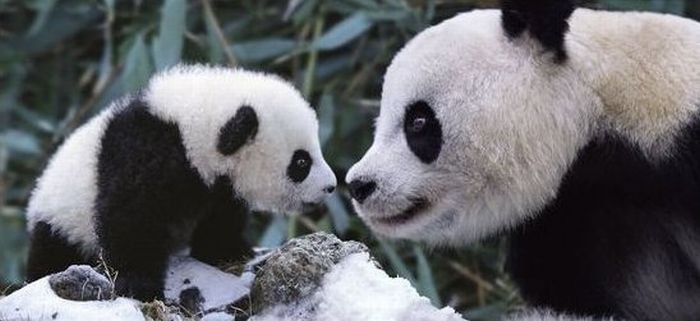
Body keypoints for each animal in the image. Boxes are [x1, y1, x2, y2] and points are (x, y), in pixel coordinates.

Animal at [24, 65, 336, 300]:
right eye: (301, 162)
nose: (331, 187)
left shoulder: (216, 186)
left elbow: (221, 217)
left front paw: (227, 250)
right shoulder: (144, 154)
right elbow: (130, 217)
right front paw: (139, 285)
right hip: (63, 224)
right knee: (54, 254)